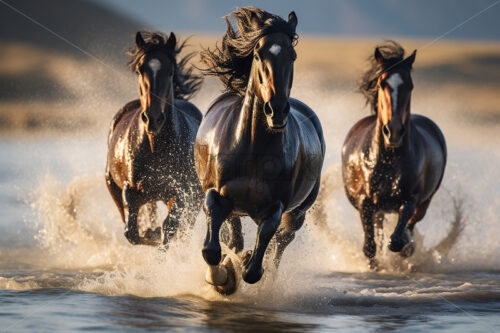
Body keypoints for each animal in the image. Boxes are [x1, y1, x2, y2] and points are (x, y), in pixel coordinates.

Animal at [105, 30, 203, 244]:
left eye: (170, 71)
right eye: (140, 70)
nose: (153, 118)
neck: (155, 146)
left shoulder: (181, 195)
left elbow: (169, 229)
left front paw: (158, 236)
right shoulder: (131, 190)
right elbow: (132, 233)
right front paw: (151, 234)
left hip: (195, 200)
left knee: (185, 229)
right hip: (112, 185)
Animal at [193, 7, 326, 294]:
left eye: (292, 55)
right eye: (257, 54)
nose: (276, 110)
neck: (252, 149)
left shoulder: (275, 208)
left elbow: (256, 264)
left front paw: (243, 266)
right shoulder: (216, 193)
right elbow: (212, 249)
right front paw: (222, 277)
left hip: (297, 213)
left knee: (279, 244)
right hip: (236, 208)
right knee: (233, 235)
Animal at [342, 39, 448, 268]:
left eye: (410, 85)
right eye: (383, 83)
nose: (394, 132)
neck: (388, 161)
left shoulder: (412, 199)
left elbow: (398, 239)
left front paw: (403, 247)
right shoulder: (366, 200)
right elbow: (370, 246)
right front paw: (375, 264)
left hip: (425, 202)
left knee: (408, 227)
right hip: (380, 210)